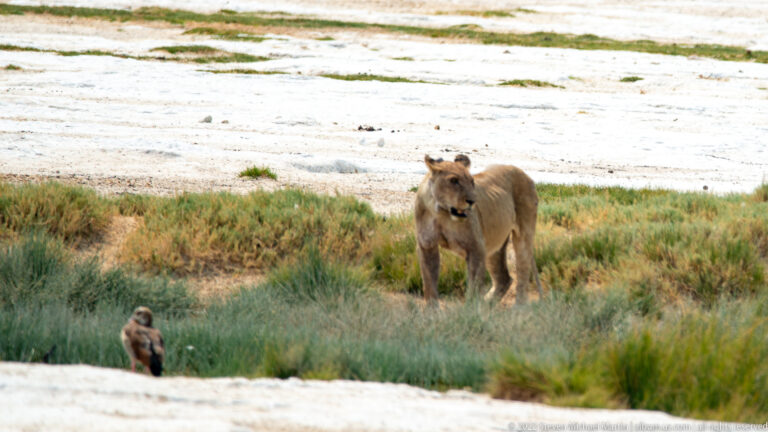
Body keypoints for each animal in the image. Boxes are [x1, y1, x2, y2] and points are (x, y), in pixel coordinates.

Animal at [414, 154, 542, 304]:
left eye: (472, 181)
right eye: (454, 180)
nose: (472, 201)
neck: (442, 213)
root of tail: (524, 174)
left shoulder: (476, 247)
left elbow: (474, 287)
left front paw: (471, 308)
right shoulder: (427, 246)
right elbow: (429, 285)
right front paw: (431, 309)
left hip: (523, 236)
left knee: (522, 273)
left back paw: (518, 306)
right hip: (494, 243)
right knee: (503, 278)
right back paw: (488, 304)